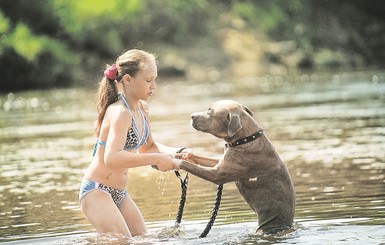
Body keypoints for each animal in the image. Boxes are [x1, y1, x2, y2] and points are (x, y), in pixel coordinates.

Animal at [176, 99, 294, 234]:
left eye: (210, 111)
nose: (192, 116)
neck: (246, 139)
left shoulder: (217, 174)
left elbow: (190, 166)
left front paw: (173, 160)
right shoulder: (220, 162)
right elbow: (200, 159)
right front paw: (182, 154)